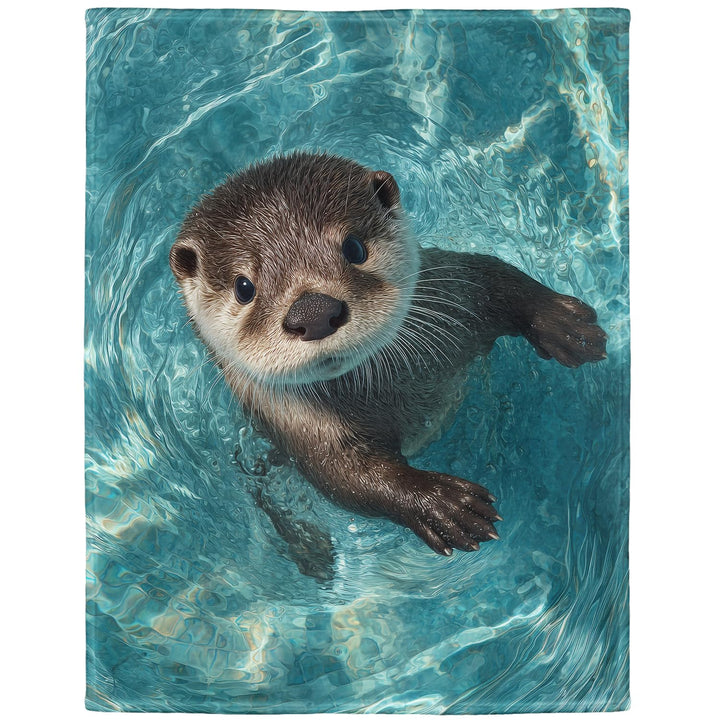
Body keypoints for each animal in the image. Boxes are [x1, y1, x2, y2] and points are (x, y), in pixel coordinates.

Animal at [170, 152, 606, 556]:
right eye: (244, 287)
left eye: (354, 247)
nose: (313, 312)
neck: (401, 392)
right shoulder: (300, 427)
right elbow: (349, 479)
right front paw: (444, 505)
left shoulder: (457, 292)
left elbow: (498, 278)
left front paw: (564, 324)